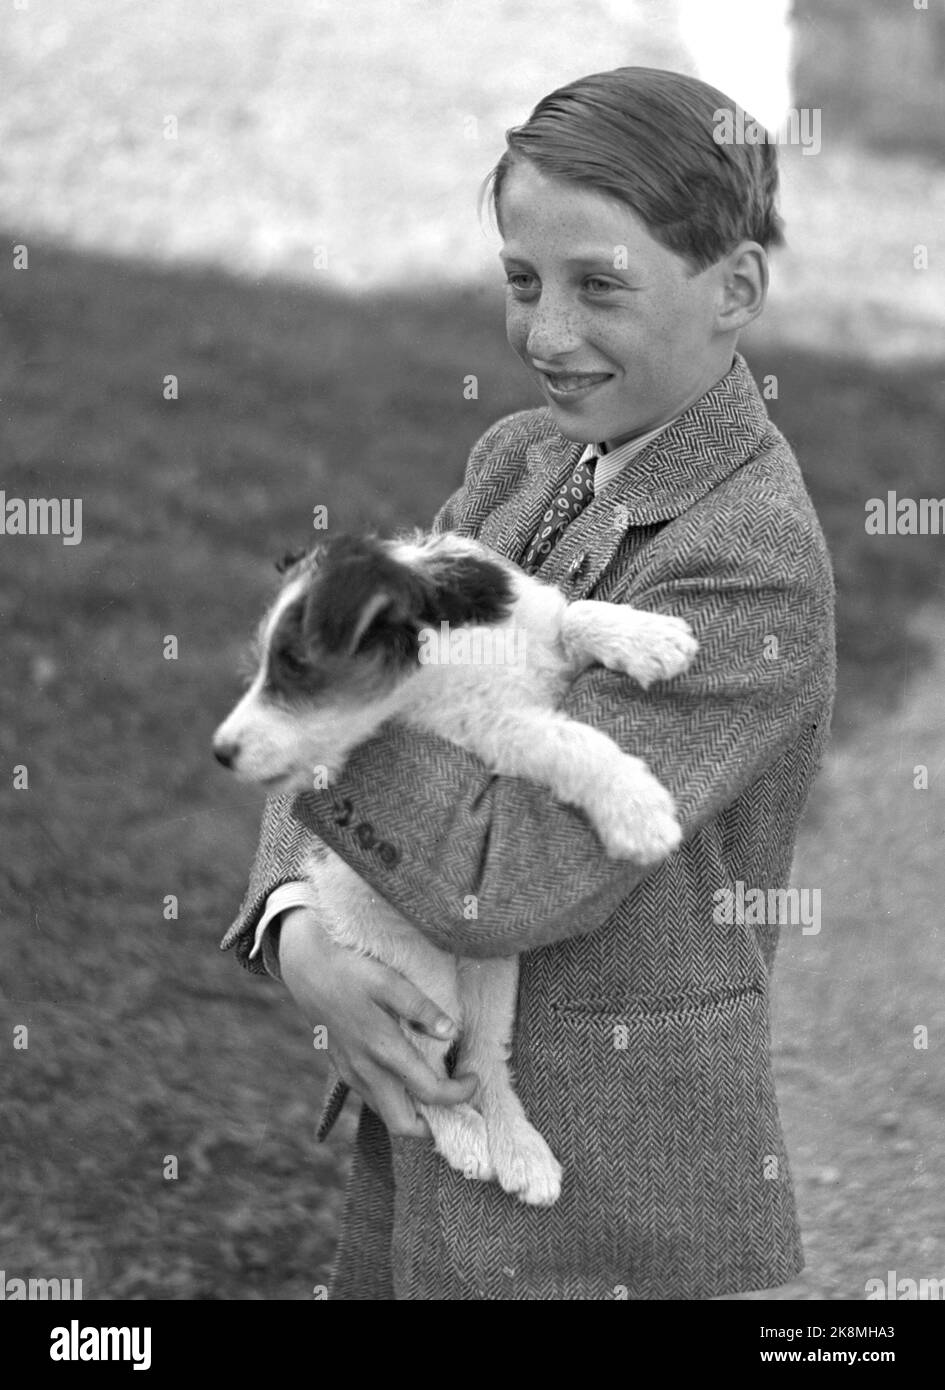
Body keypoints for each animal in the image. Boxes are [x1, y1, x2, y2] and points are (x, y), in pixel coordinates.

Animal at [215, 530, 700, 1206]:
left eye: (295, 665)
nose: (221, 752)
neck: (447, 656)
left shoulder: (531, 642)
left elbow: (572, 614)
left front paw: (651, 638)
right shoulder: (489, 732)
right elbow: (561, 737)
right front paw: (637, 808)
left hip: (496, 976)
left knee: (483, 1064)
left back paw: (521, 1155)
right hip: (415, 976)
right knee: (426, 1075)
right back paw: (468, 1140)